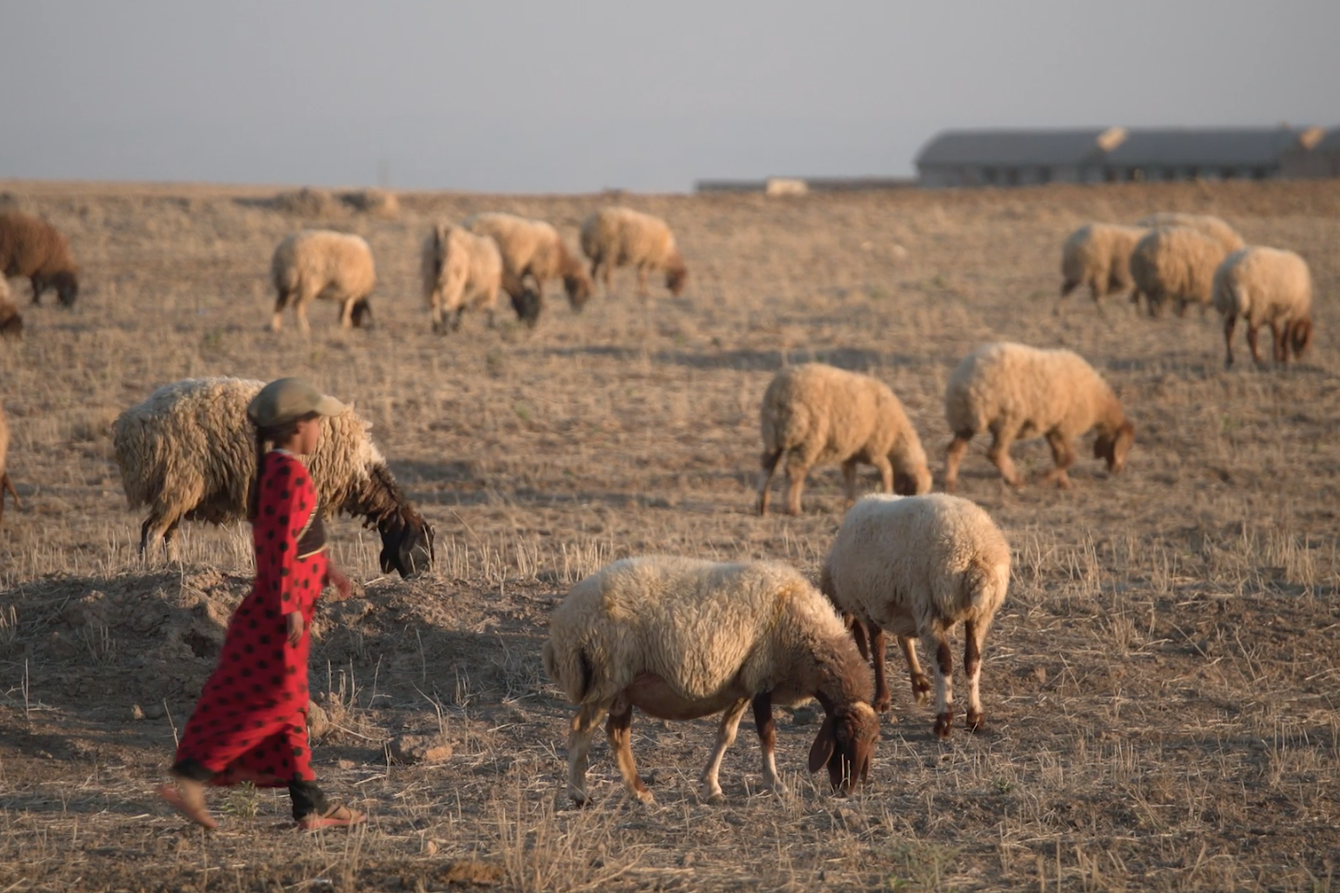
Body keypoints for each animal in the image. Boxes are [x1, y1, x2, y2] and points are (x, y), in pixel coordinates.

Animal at [113, 375, 434, 576]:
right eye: (422, 546)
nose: (424, 578)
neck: (359, 470)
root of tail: (130, 425)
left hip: (179, 488)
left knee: (169, 532)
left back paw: (175, 568)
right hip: (179, 480)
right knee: (152, 531)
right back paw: (151, 569)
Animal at [544, 552, 879, 804]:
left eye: (874, 740)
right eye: (842, 734)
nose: (847, 789)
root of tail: (565, 620)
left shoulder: (743, 684)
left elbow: (726, 735)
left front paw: (712, 786)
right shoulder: (762, 677)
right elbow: (767, 736)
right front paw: (776, 784)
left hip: (623, 686)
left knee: (616, 735)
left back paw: (640, 793)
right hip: (608, 675)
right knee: (582, 728)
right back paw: (579, 794)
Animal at [755, 362, 932, 514]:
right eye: (914, 491)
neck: (896, 439)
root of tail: (779, 392)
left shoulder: (851, 455)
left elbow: (850, 478)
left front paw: (850, 504)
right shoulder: (874, 451)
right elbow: (886, 470)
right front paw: (887, 492)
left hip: (772, 435)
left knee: (767, 466)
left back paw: (762, 506)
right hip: (807, 438)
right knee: (795, 470)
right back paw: (793, 508)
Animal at [820, 490, 1007, 734]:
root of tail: (973, 554)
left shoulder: (871, 606)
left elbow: (878, 650)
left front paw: (882, 700)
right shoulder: (898, 606)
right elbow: (904, 641)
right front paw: (920, 685)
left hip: (930, 605)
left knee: (944, 659)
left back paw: (944, 720)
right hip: (980, 615)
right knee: (972, 659)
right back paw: (974, 716)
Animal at [938, 341, 1136, 493]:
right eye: (1125, 446)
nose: (1118, 470)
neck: (1098, 402)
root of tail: (960, 383)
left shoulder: (1053, 428)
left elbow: (1059, 456)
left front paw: (1063, 483)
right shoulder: (1064, 427)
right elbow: (1068, 457)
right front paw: (1046, 479)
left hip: (965, 421)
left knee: (954, 450)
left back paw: (950, 483)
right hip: (1006, 420)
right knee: (995, 453)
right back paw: (1016, 481)